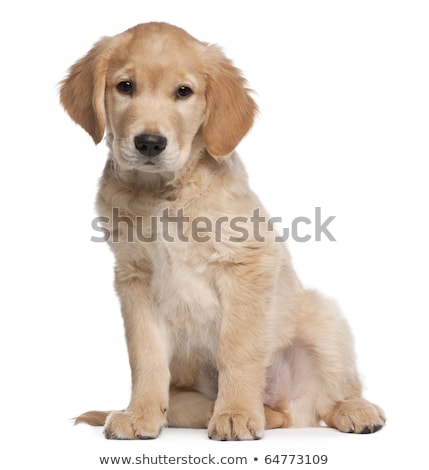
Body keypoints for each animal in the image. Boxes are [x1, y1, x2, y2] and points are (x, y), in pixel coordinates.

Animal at [60, 22, 384, 440]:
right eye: (125, 86)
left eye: (184, 92)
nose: (149, 143)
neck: (163, 194)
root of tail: (292, 405)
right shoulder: (134, 279)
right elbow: (145, 354)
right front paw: (140, 415)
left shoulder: (246, 264)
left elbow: (238, 348)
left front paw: (237, 413)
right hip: (184, 398)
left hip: (323, 320)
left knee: (331, 397)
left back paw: (352, 410)